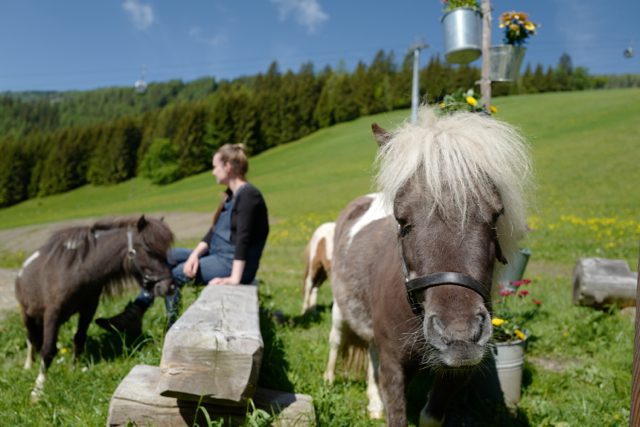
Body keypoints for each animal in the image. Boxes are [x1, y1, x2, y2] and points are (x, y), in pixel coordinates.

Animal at [322, 108, 532, 426]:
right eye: (402, 220)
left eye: (496, 215)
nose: (459, 334)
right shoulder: (394, 366)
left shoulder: (456, 372)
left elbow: (430, 415)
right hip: (340, 310)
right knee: (336, 341)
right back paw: (329, 380)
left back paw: (374, 404)